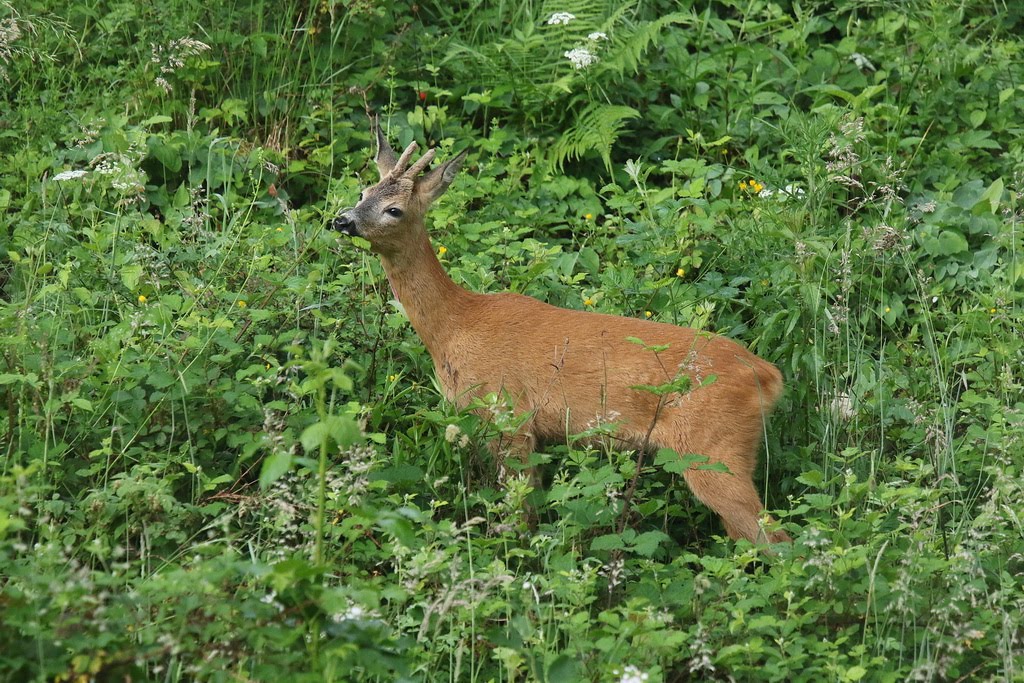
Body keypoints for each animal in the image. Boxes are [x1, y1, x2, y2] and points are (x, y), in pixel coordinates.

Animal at [335, 121, 790, 544]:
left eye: (395, 210)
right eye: (363, 192)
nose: (342, 220)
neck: (454, 326)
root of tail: (767, 374)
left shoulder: (510, 415)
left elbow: (520, 511)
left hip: (714, 449)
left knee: (774, 538)